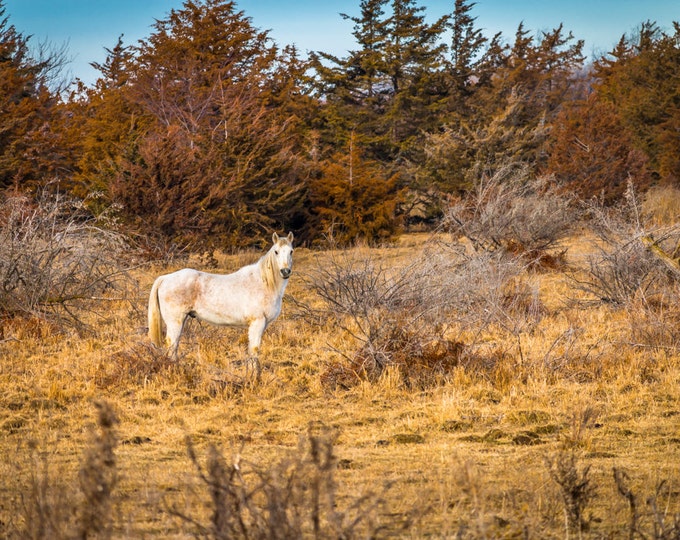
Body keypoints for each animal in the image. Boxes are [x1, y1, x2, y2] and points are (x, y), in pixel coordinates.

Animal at [149, 232, 292, 372]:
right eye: (276, 252)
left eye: (291, 251)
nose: (285, 271)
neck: (264, 283)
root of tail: (165, 278)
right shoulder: (257, 322)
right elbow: (254, 350)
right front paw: (253, 374)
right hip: (175, 322)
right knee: (172, 346)